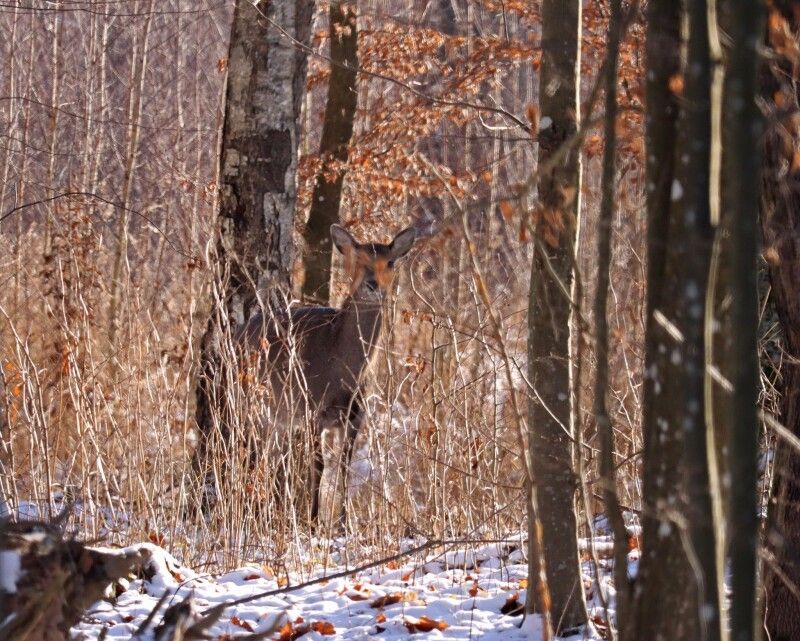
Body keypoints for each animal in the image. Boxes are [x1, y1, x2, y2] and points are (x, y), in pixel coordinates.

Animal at [239, 222, 418, 524]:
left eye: (390, 262)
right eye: (360, 259)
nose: (373, 285)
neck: (342, 372)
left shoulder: (356, 416)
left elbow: (344, 468)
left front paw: (344, 522)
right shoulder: (312, 408)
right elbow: (319, 466)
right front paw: (313, 521)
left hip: (280, 414)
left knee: (273, 457)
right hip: (255, 401)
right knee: (254, 451)